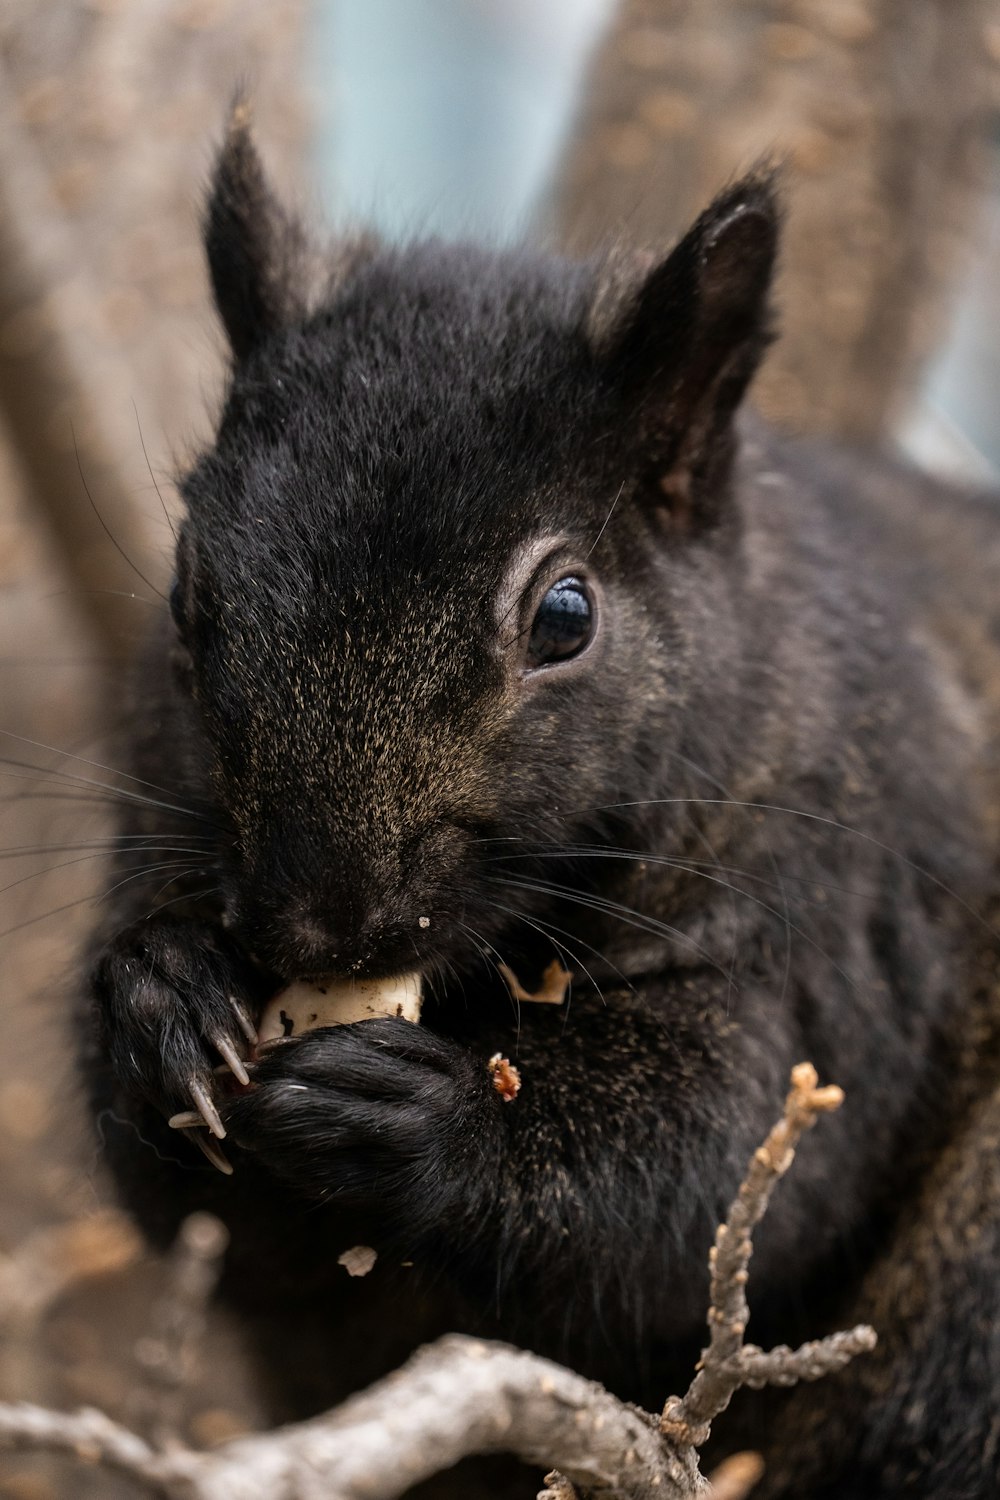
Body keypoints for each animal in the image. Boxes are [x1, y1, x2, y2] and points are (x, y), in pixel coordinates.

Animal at [80, 120, 1000, 1500]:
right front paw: (165, 997)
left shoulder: (842, 926)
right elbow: (216, 1233)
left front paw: (429, 1120)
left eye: (566, 615)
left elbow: (711, 1162)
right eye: (190, 591)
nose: (321, 926)